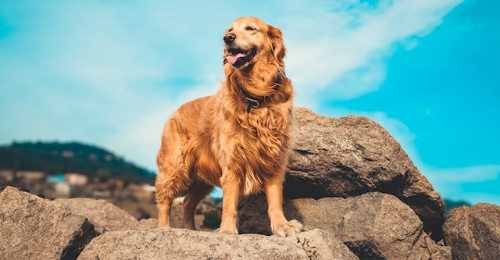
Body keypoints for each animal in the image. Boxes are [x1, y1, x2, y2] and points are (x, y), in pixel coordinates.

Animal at [154, 15, 302, 236]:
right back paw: (164, 228)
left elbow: (275, 200)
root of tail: (175, 111)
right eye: (230, 30)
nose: (227, 38)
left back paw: (192, 230)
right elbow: (230, 203)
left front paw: (282, 225)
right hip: (175, 164)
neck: (255, 97)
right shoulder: (231, 162)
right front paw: (226, 230)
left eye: (250, 28)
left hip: (200, 180)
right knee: (165, 197)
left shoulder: (274, 159)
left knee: (188, 202)